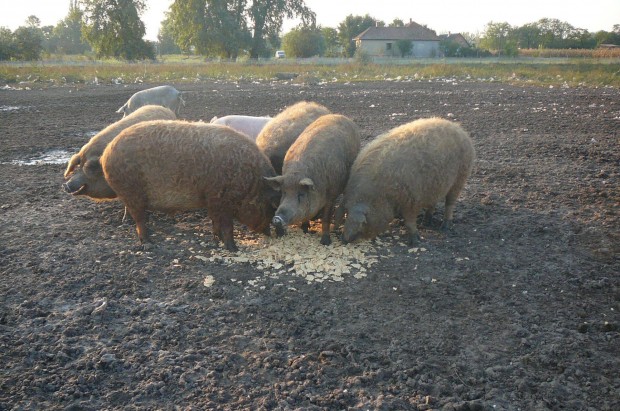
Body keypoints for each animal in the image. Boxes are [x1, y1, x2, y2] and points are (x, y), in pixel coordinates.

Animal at [100, 120, 280, 251]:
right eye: (270, 207)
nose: (270, 234)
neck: (250, 183)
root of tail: (106, 153)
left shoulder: (212, 201)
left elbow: (215, 222)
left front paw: (216, 241)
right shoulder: (221, 200)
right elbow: (227, 226)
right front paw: (234, 249)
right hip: (131, 192)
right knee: (140, 220)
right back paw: (149, 244)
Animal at [264, 113, 360, 245]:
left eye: (301, 194)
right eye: (283, 192)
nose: (277, 218)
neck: (297, 173)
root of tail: (340, 116)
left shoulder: (332, 194)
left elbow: (326, 218)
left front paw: (325, 242)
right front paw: (305, 230)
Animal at [340, 116, 474, 245]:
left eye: (363, 223)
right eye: (346, 212)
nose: (344, 239)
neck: (381, 194)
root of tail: (459, 129)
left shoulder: (411, 199)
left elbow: (409, 221)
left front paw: (415, 242)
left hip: (461, 177)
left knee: (450, 203)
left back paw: (445, 227)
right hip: (436, 184)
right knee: (433, 202)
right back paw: (425, 223)